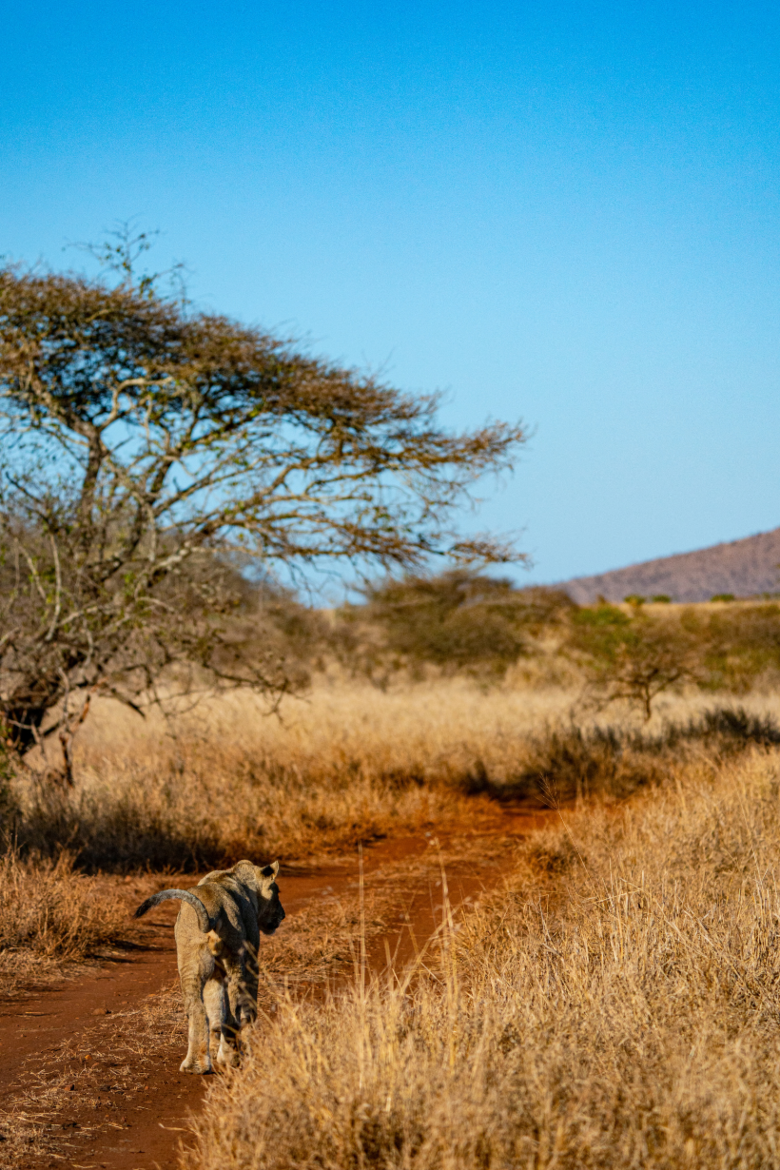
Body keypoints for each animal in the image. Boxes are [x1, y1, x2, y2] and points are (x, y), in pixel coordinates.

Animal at [135, 861, 286, 1071]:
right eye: (277, 892)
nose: (283, 915)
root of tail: (213, 907)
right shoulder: (251, 960)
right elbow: (247, 1009)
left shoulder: (214, 974)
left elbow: (215, 1010)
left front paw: (214, 1049)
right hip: (235, 961)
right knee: (232, 1016)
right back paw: (231, 1059)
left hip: (190, 962)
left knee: (198, 1009)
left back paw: (195, 1065)